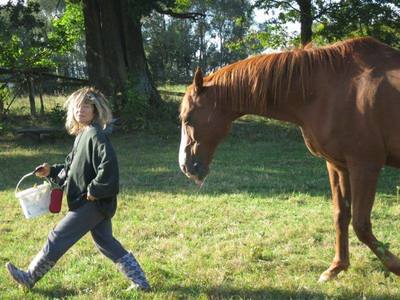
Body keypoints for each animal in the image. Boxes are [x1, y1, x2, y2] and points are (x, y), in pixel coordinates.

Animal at [180, 37, 400, 282]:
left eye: (188, 118)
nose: (186, 166)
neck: (330, 89)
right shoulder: (338, 166)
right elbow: (341, 216)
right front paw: (336, 267)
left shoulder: (365, 166)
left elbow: (361, 225)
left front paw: (396, 266)